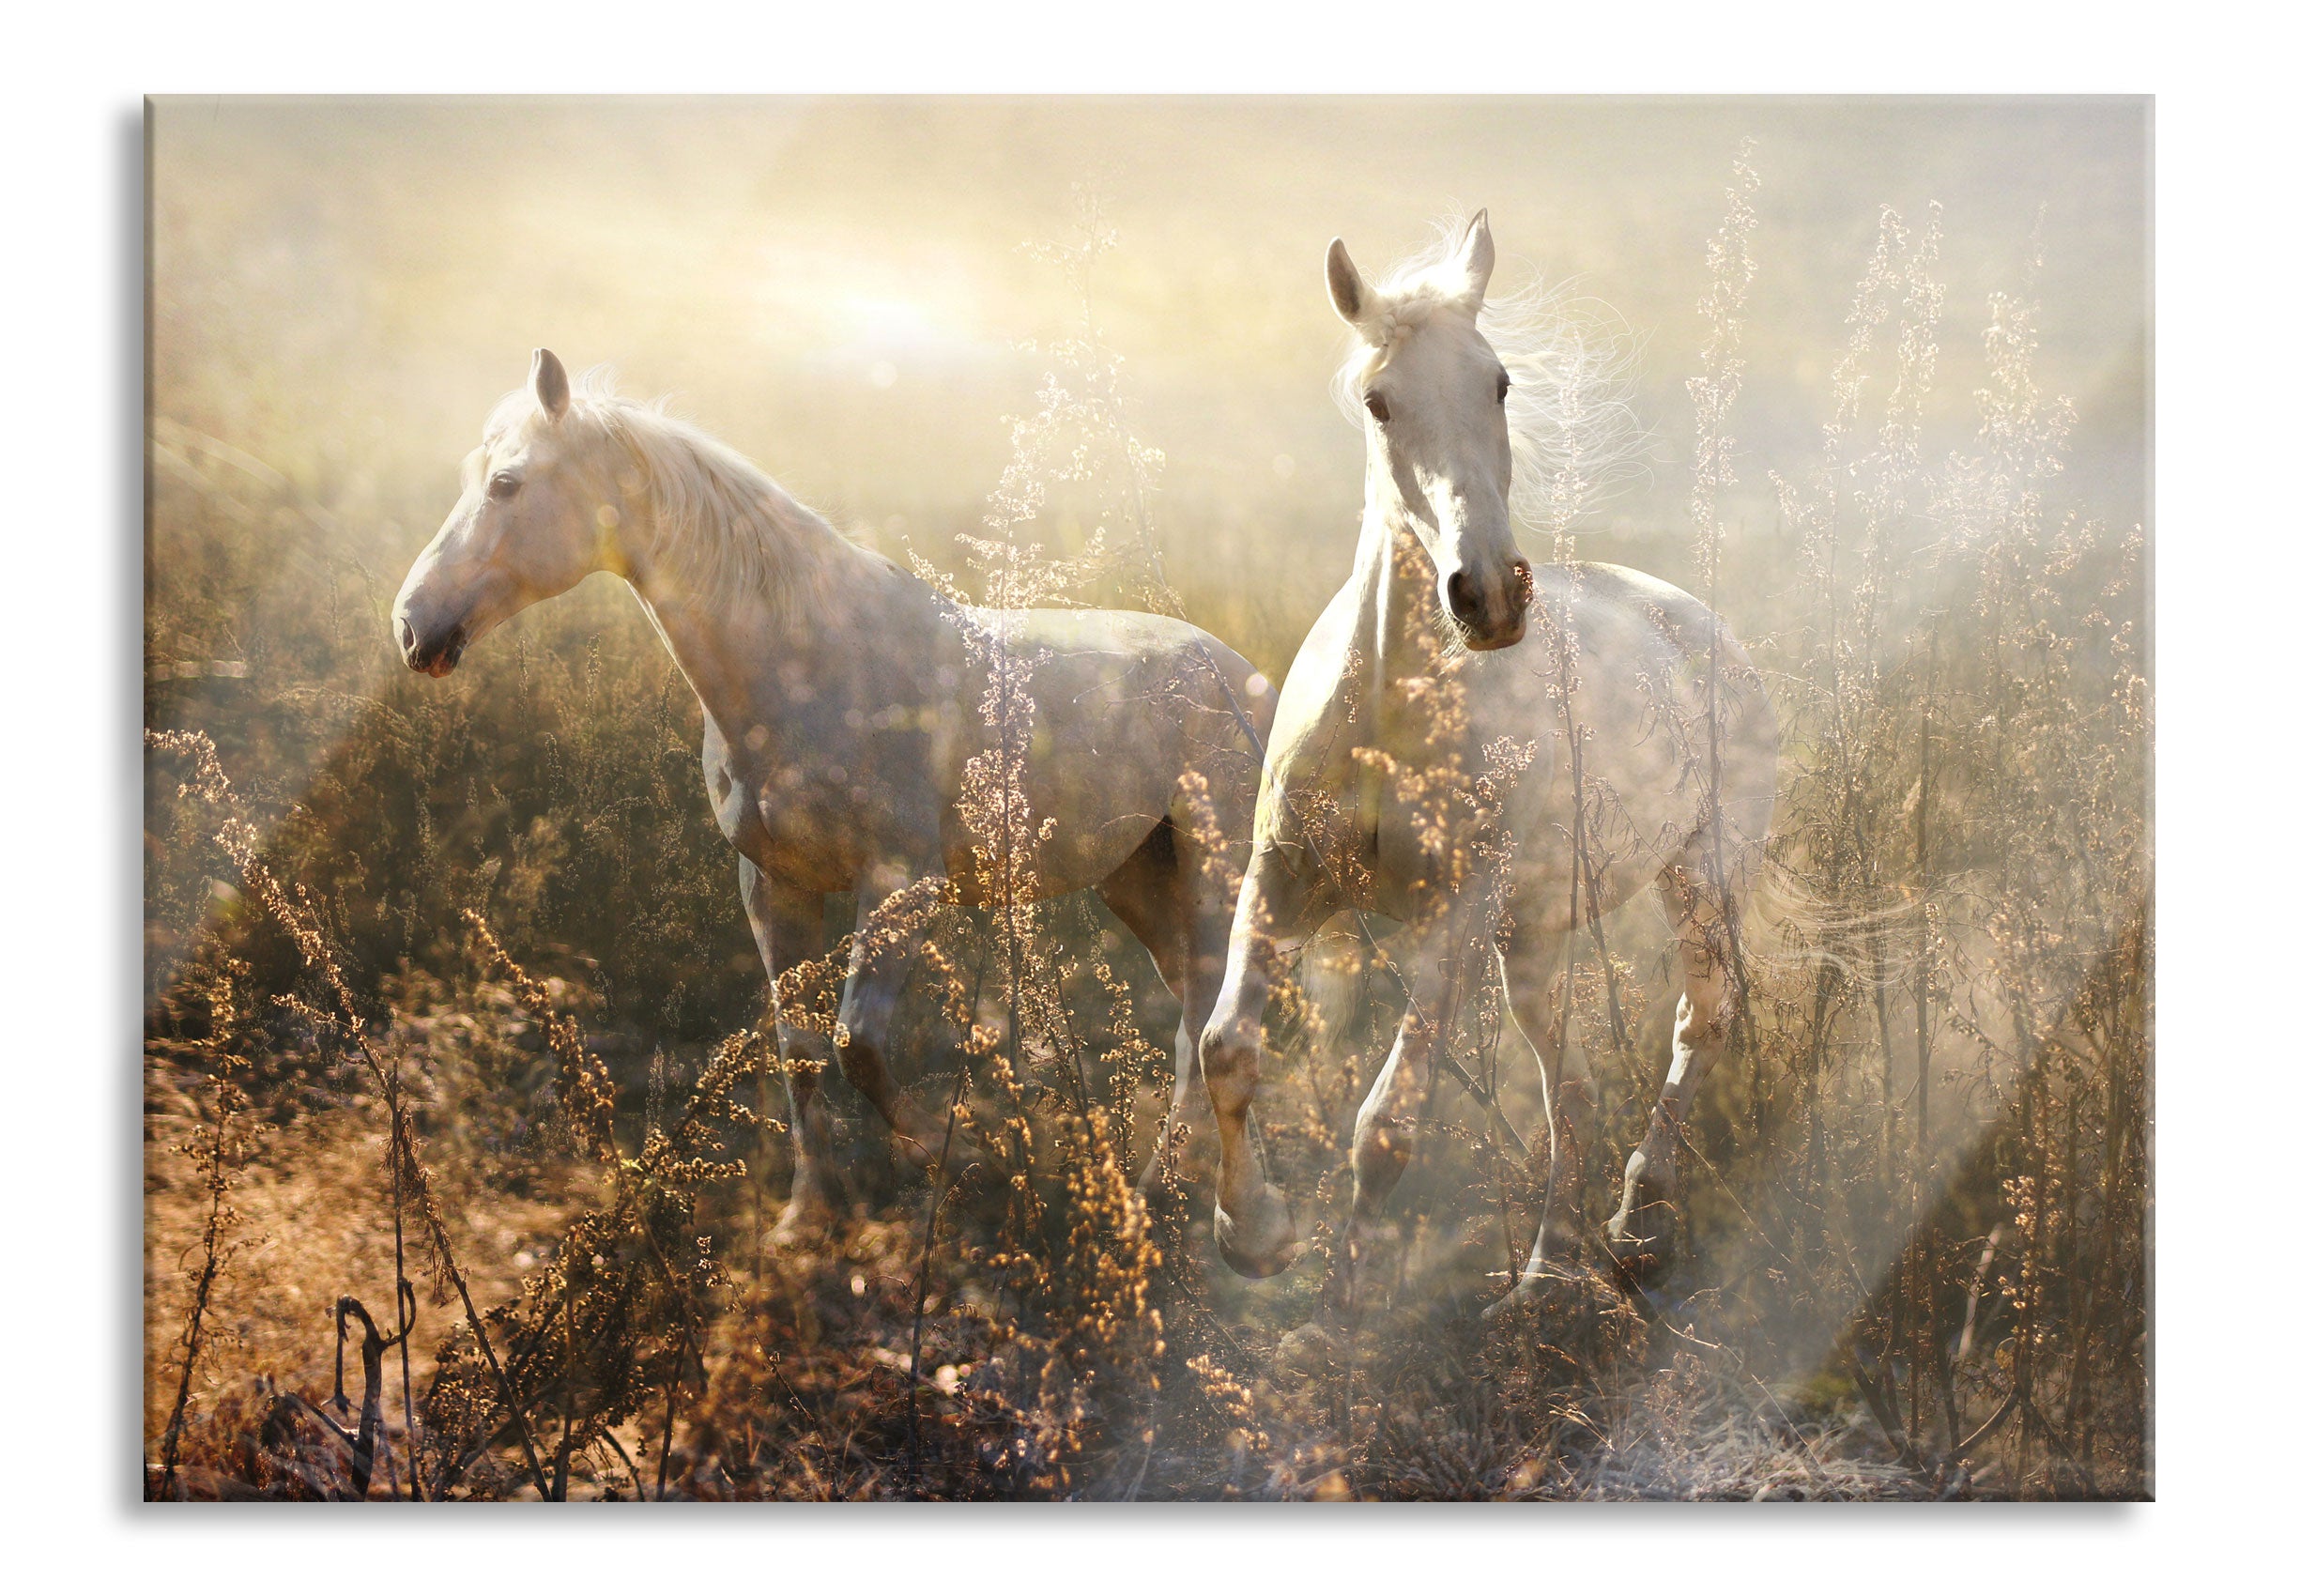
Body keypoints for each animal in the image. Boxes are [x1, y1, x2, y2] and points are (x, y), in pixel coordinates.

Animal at [395, 354, 1296, 1278]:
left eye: (507, 483)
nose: (414, 628)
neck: (812, 663)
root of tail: (1244, 675)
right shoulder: (773, 885)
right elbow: (798, 1049)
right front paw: (808, 1218)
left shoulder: (901, 883)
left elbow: (855, 1043)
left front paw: (970, 1161)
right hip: (1138, 881)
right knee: (1194, 1014)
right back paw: (1181, 1206)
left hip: (1217, 875)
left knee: (1215, 1023)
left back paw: (1228, 1225)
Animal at [1196, 216, 1785, 1315]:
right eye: (1380, 401)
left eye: (1499, 382)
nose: (1490, 596)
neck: (1391, 718)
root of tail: (1700, 626)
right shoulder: (1282, 880)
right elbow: (1226, 1049)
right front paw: (1253, 1237)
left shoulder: (1454, 923)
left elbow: (1385, 1124)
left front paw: (1335, 1322)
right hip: (1534, 944)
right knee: (1574, 1091)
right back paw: (1545, 1273)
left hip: (1698, 879)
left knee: (1702, 1020)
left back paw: (1635, 1217)